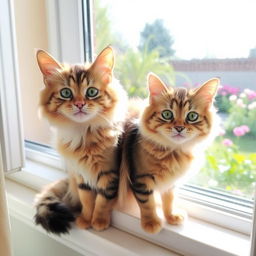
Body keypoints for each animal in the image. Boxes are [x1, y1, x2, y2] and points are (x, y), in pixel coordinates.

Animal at [34, 46, 127, 234]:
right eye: (66, 93)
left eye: (91, 92)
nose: (79, 104)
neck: (84, 134)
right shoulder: (81, 175)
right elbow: (87, 200)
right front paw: (85, 220)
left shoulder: (109, 174)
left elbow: (102, 201)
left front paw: (99, 222)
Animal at [119, 72, 219, 234]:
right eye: (167, 114)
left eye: (192, 116)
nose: (179, 128)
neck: (174, 152)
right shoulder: (141, 179)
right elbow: (147, 204)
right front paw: (151, 223)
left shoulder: (170, 183)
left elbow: (169, 200)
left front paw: (171, 216)